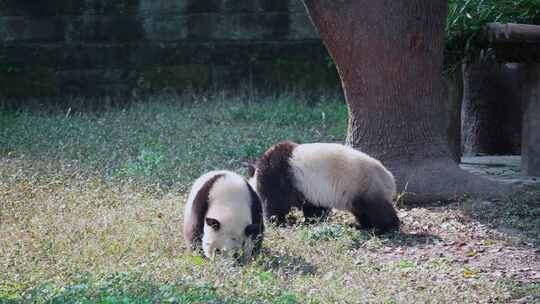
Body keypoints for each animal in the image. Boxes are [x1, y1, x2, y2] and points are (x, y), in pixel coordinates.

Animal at [247, 141, 398, 234]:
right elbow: (314, 208)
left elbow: (276, 203)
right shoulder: (310, 190)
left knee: (376, 208)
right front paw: (313, 221)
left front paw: (279, 221)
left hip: (365, 185)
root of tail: (390, 179)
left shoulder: (278, 177)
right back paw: (361, 225)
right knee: (361, 210)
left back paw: (384, 228)